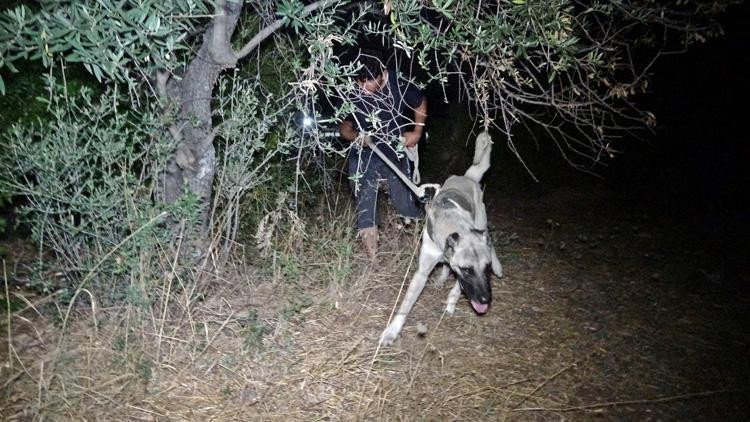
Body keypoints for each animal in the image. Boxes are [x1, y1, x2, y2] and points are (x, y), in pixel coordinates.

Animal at [382, 130, 506, 344]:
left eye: (486, 268)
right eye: (467, 270)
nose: (486, 301)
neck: (453, 224)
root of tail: (468, 177)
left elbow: (458, 287)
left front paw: (451, 302)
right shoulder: (423, 272)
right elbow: (405, 304)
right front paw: (392, 331)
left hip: (482, 223)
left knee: (489, 243)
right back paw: (442, 278)